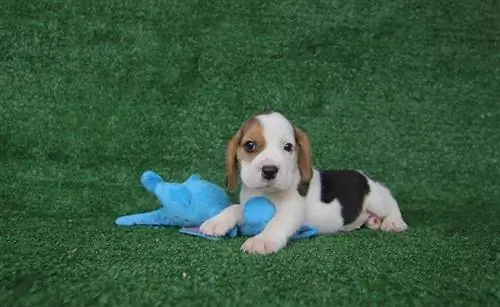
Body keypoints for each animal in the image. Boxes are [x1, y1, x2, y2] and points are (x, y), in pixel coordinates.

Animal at [201, 110, 408, 255]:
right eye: (249, 145)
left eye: (288, 147)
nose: (269, 170)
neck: (266, 193)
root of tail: (365, 175)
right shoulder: (247, 202)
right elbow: (236, 207)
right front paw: (216, 221)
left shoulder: (292, 209)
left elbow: (277, 221)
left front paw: (262, 240)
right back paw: (372, 221)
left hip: (377, 199)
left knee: (392, 205)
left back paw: (394, 222)